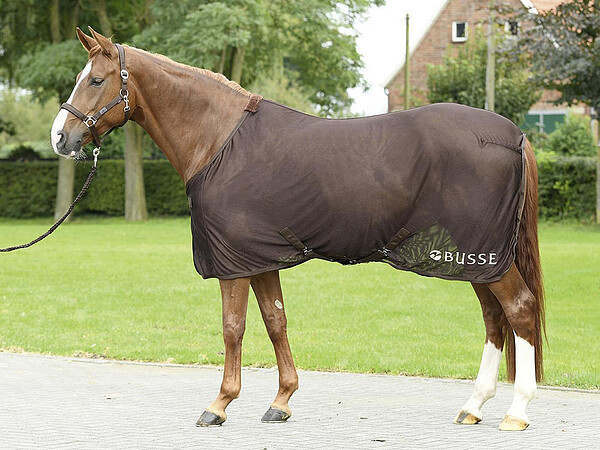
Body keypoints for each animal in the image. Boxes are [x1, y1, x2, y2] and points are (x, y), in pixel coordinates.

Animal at [50, 27, 545, 432]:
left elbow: (233, 327)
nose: (60, 137)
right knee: (494, 318)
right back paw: (474, 406)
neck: (219, 141)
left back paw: (517, 411)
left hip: (484, 256)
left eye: (96, 80)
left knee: (519, 309)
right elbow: (275, 321)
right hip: (476, 259)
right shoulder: (259, 257)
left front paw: (219, 404)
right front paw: (281, 401)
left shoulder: (233, 263)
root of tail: (512, 135)